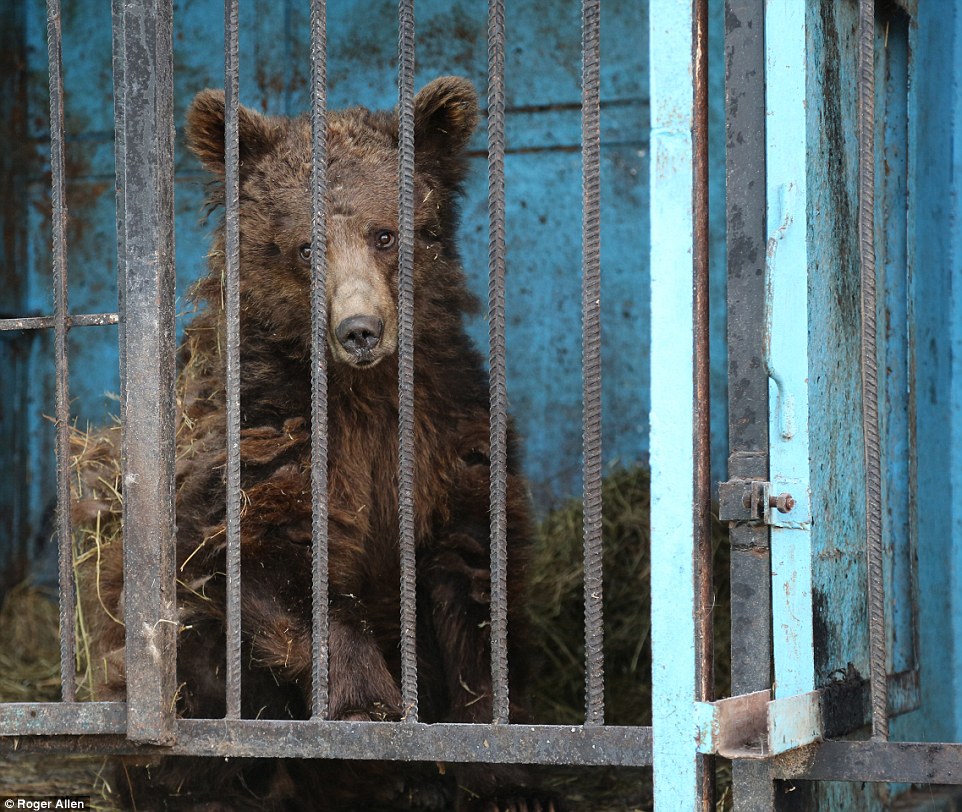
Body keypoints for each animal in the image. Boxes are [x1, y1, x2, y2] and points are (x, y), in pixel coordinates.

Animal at [77, 77, 548, 812]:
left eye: (385, 234)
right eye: (305, 247)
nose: (360, 330)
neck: (361, 391)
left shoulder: (449, 432)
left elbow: (473, 586)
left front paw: (505, 775)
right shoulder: (264, 429)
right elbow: (271, 555)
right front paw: (369, 703)